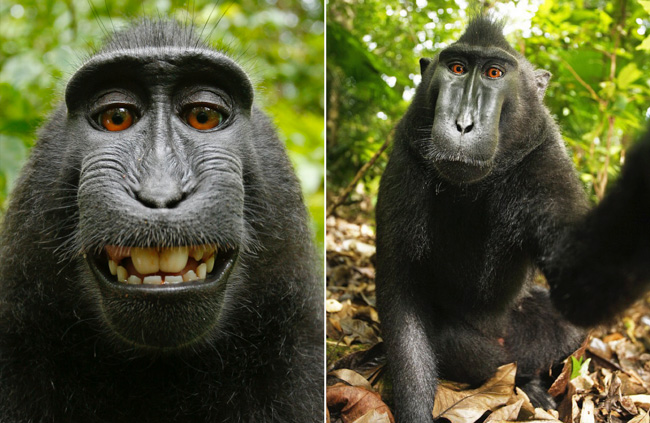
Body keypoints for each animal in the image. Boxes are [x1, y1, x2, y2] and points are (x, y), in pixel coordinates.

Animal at [375, 17, 650, 422]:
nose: (463, 124)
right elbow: (401, 296)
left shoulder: (546, 160)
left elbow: (580, 286)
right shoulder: (405, 159)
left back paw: (532, 384)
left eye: (494, 73)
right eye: (457, 68)